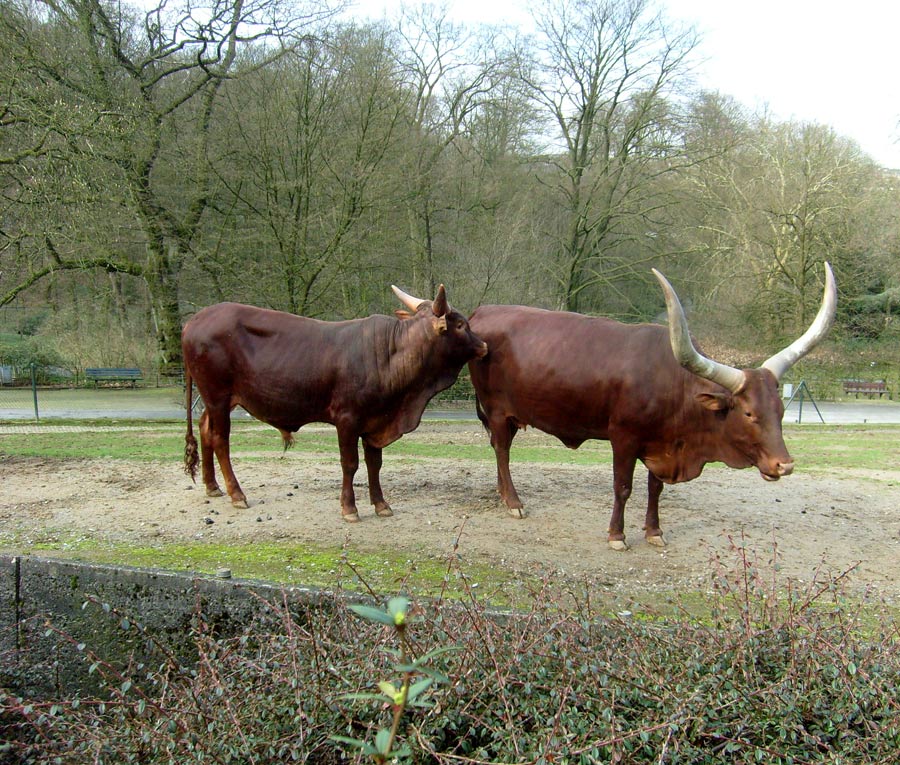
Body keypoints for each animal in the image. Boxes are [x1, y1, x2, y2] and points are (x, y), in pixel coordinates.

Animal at [181, 284, 486, 524]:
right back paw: (237, 494)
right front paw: (349, 508)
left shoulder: (376, 420)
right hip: (218, 396)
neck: (389, 355)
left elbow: (375, 464)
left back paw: (212, 486)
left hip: (216, 401)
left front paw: (381, 504)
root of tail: (195, 320)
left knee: (206, 429)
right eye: (460, 325)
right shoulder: (347, 419)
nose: (484, 345)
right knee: (220, 440)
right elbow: (350, 464)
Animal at [468, 264, 840, 548]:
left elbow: (655, 488)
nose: (784, 465)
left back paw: (503, 494)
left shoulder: (661, 443)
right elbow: (623, 488)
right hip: (497, 410)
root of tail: (481, 312)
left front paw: (654, 531)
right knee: (502, 450)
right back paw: (514, 502)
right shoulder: (624, 438)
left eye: (780, 410)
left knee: (499, 448)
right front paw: (617, 536)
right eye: (748, 413)